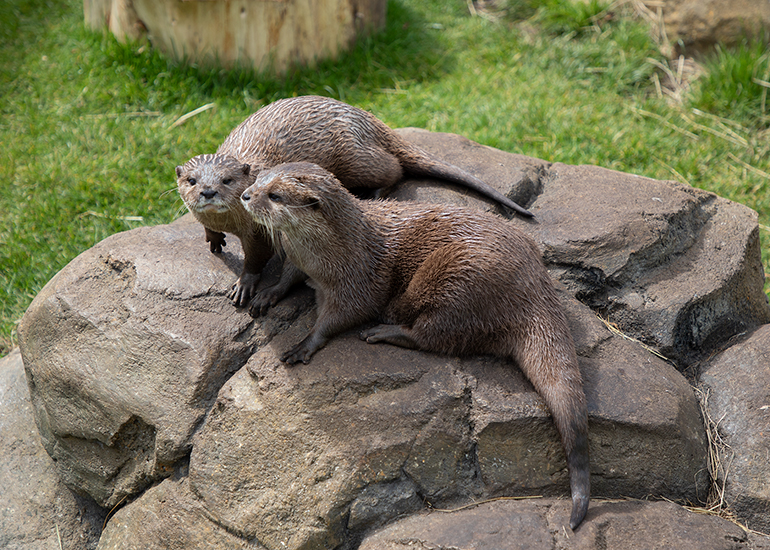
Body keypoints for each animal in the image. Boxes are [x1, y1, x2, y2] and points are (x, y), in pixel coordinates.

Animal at [176, 95, 533, 308]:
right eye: (191, 180)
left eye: (227, 180)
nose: (208, 191)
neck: (230, 221)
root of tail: (365, 117)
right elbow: (207, 229)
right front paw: (213, 240)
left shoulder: (259, 231)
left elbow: (255, 259)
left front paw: (244, 284)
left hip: (354, 156)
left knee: (394, 167)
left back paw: (375, 193)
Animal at [240, 162, 589, 530]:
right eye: (258, 179)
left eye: (275, 195)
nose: (245, 196)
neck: (329, 252)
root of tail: (536, 287)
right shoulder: (298, 259)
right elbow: (288, 276)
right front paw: (267, 294)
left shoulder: (357, 282)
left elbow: (340, 317)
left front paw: (305, 344)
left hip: (457, 277)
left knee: (436, 335)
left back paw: (383, 332)